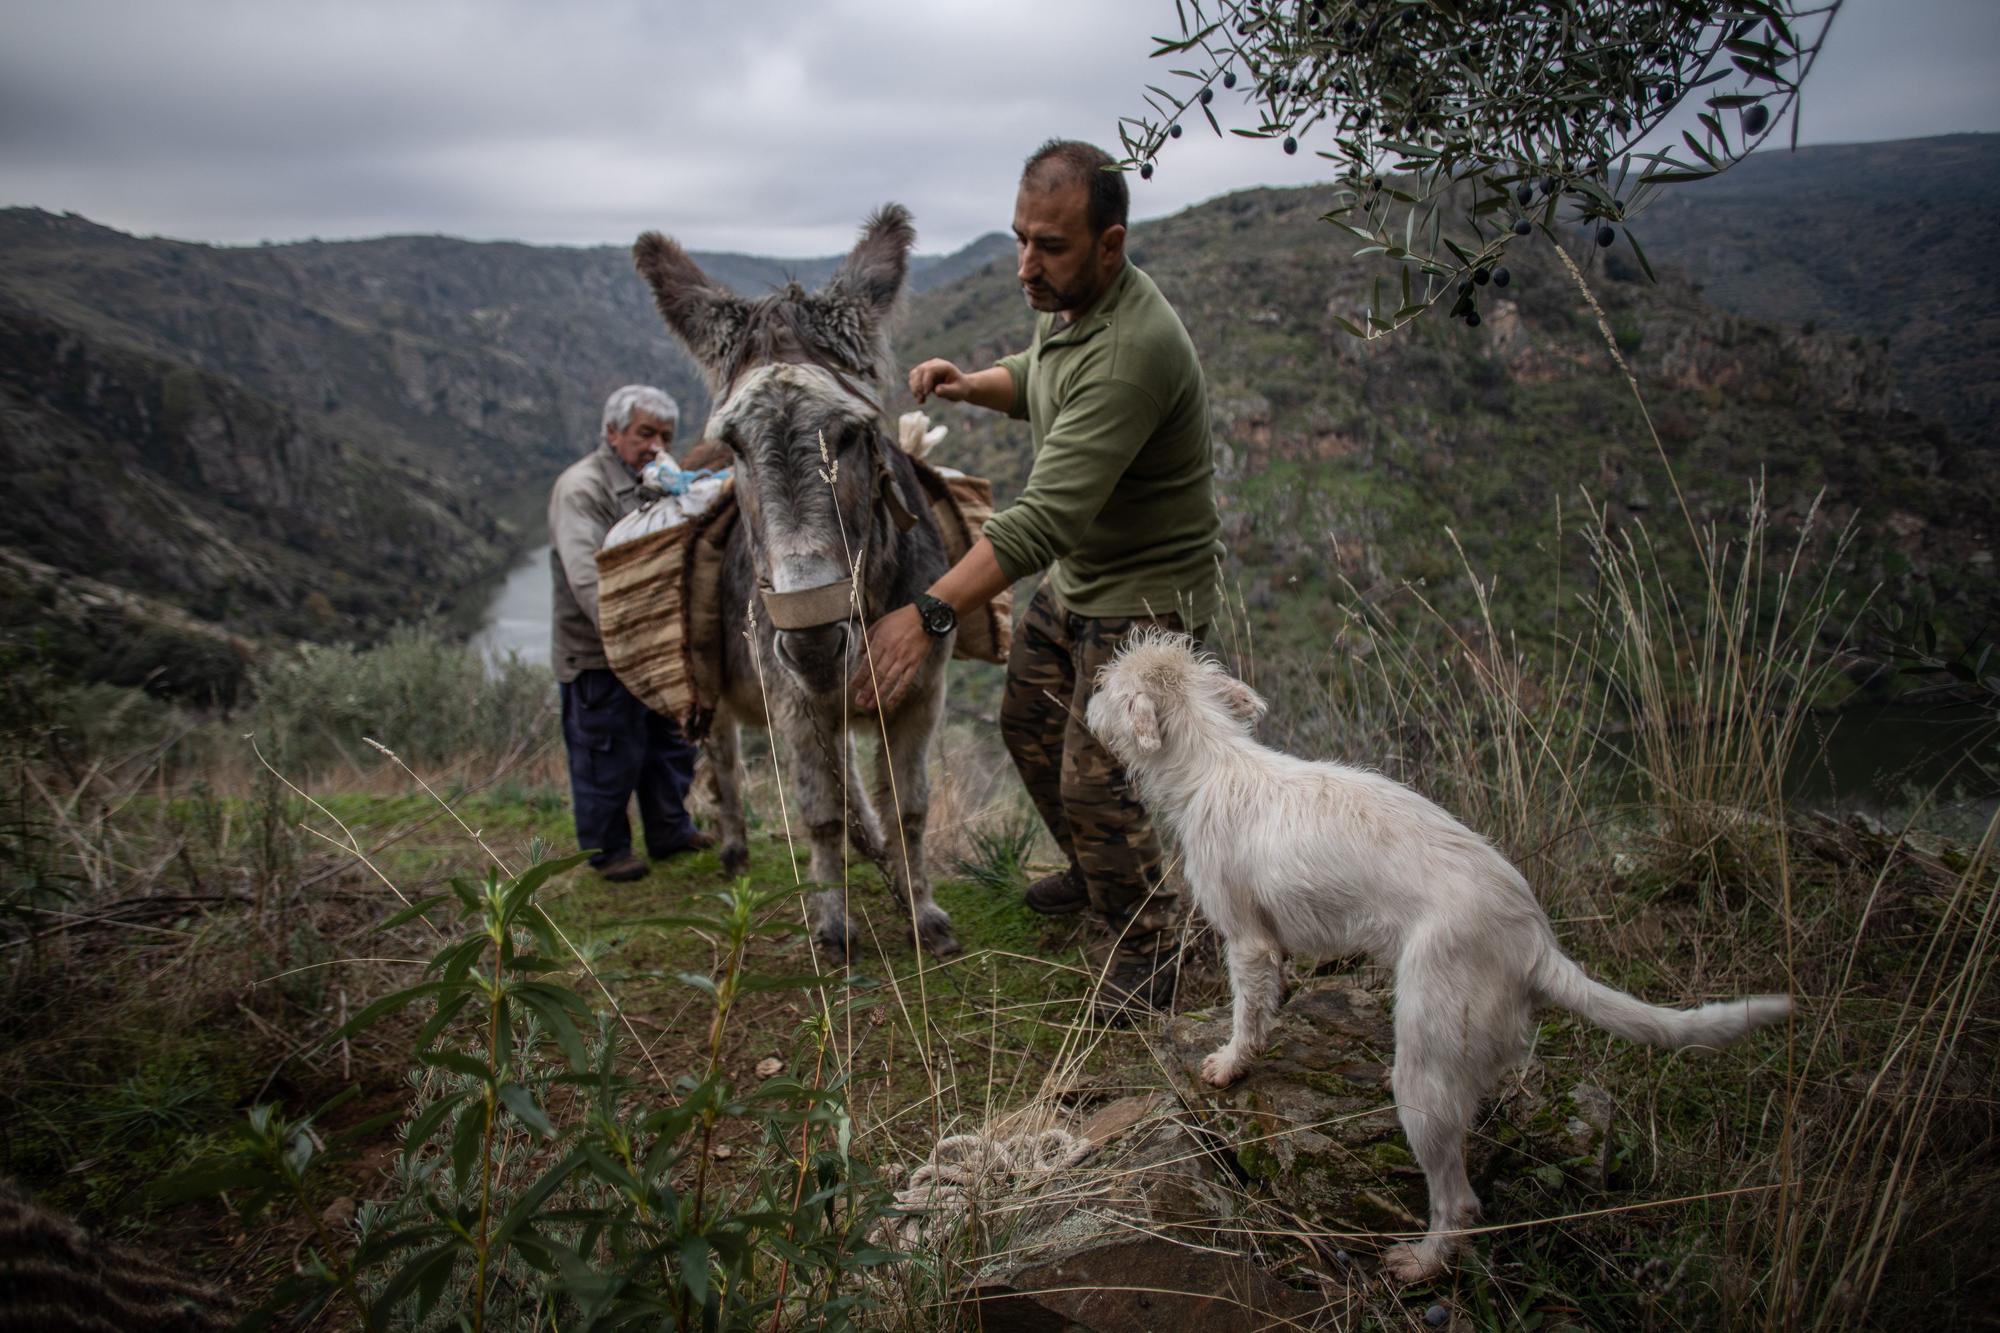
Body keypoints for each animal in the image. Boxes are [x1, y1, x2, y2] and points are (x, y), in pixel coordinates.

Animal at [1088, 632, 1792, 1280]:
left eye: (1109, 685)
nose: (1087, 699)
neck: (1214, 760)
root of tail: (1534, 943)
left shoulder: (1248, 941)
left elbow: (1248, 1012)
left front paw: (1231, 1063)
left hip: (1426, 1067)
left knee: (1459, 1201)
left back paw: (1423, 1261)